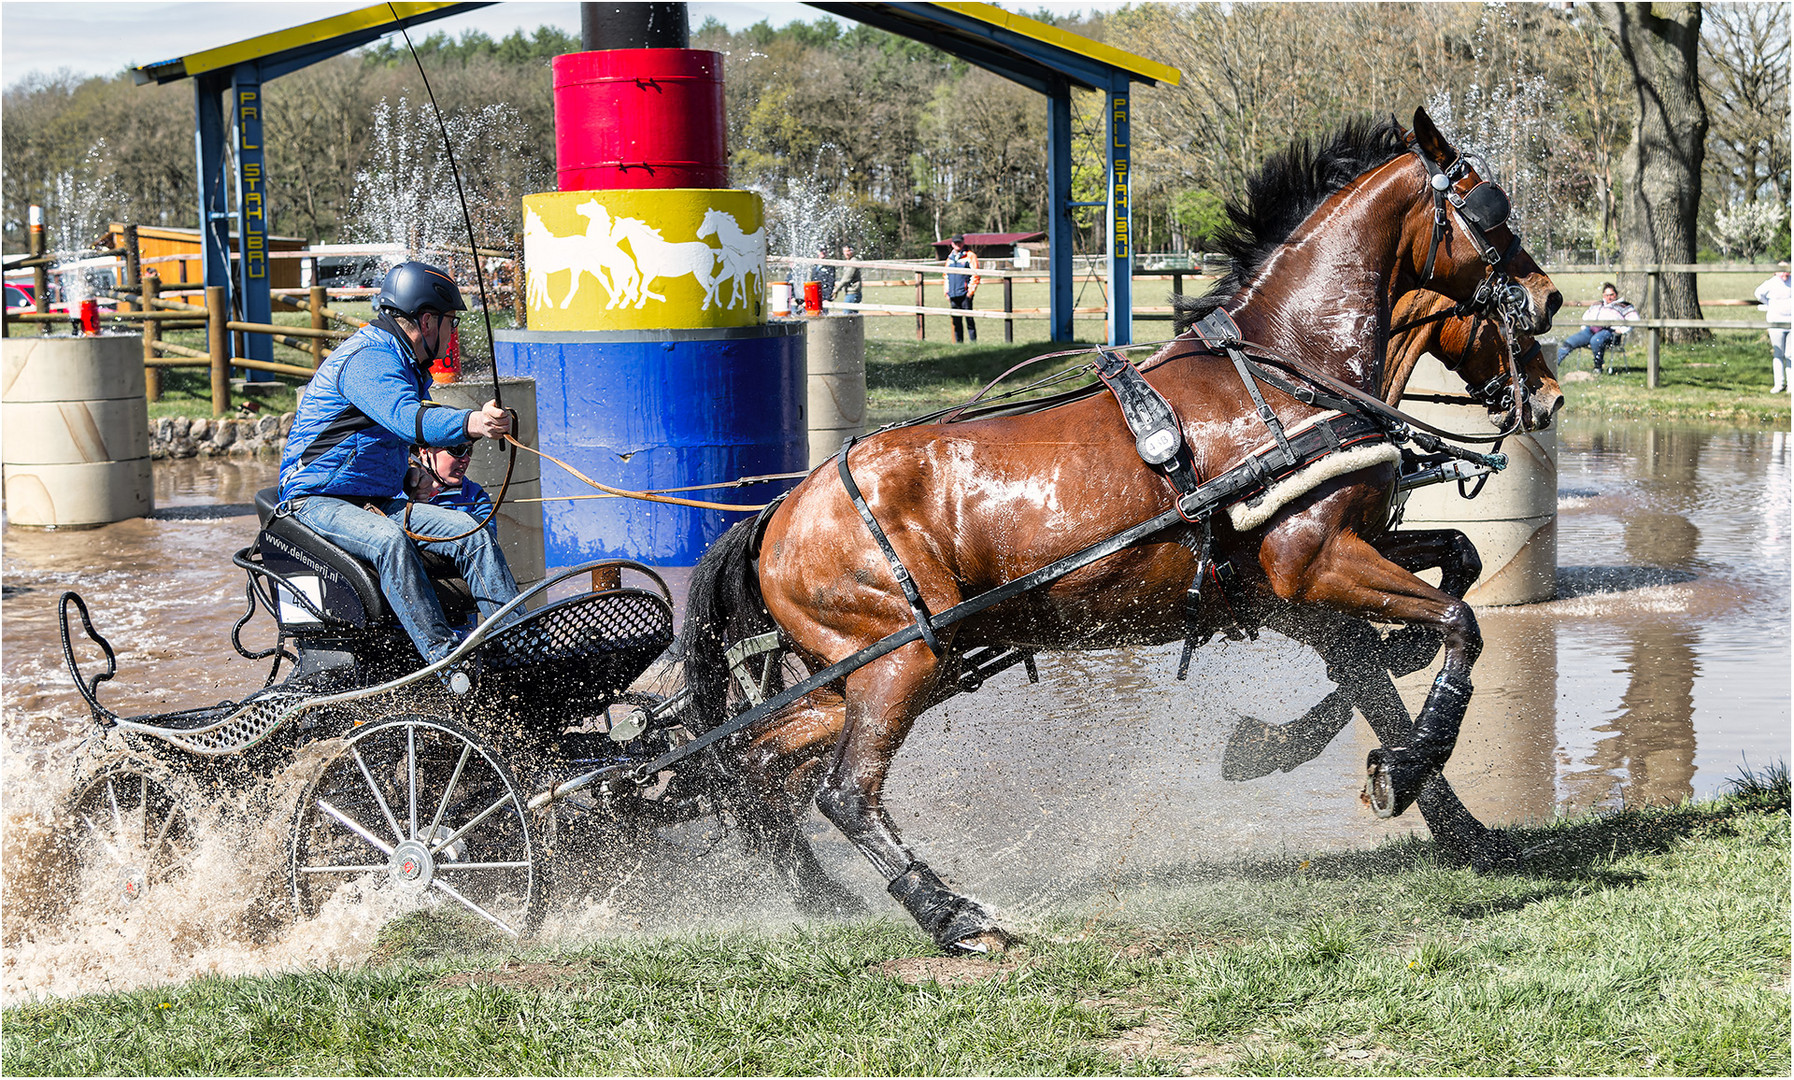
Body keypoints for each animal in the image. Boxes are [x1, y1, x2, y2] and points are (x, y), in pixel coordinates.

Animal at [681, 111, 1557, 947]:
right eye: (1489, 211)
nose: (1547, 307)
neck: (1285, 375)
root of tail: (779, 513)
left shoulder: (1311, 587)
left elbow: (1435, 599)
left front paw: (1446, 817)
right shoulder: (1315, 564)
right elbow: (1457, 626)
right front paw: (1400, 770)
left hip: (877, 673)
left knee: (753, 763)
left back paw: (816, 895)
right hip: (902, 661)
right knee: (842, 791)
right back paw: (952, 914)